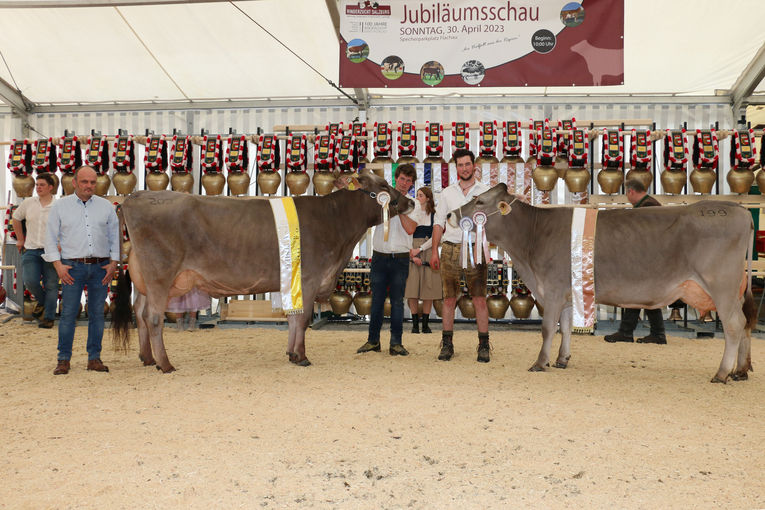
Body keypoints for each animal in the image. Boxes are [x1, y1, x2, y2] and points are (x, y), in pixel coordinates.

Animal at [112, 169, 412, 372]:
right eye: (382, 185)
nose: (409, 202)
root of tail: (136, 196)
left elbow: (293, 318)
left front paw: (291, 354)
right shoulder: (310, 277)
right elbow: (302, 317)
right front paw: (301, 356)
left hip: (144, 279)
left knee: (140, 312)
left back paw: (147, 358)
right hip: (160, 275)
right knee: (153, 317)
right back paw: (164, 364)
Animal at [450, 185, 756, 384]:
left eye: (479, 202)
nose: (452, 214)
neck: (532, 239)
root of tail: (737, 209)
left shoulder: (552, 289)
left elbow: (548, 329)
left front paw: (540, 362)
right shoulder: (566, 293)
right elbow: (565, 327)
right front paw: (562, 360)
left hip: (722, 286)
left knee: (734, 325)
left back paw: (722, 373)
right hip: (735, 290)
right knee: (745, 324)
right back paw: (740, 371)